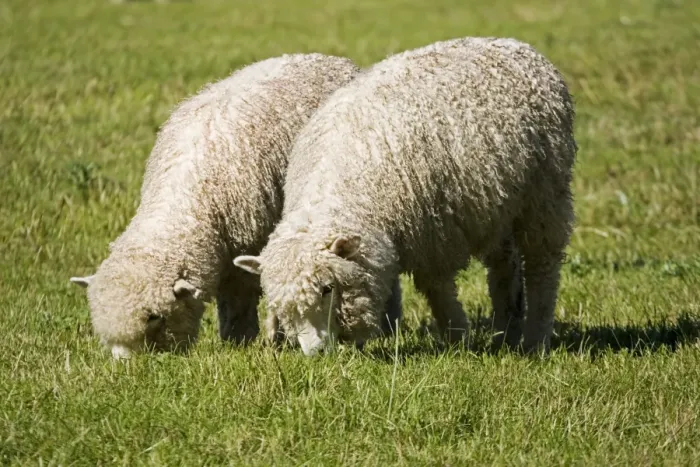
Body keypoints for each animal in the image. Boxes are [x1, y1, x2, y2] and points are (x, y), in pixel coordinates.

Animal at [69, 53, 372, 359]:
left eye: (155, 318)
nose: (126, 365)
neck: (188, 198)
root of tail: (329, 58)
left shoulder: (245, 252)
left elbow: (239, 302)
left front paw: (239, 339)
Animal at [233, 37, 577, 356]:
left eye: (327, 288)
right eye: (281, 304)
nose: (315, 353)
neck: (339, 191)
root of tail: (515, 44)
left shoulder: (433, 236)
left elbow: (438, 291)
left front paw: (458, 340)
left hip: (545, 194)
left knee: (542, 266)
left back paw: (535, 341)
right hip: (500, 206)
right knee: (504, 266)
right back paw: (506, 334)